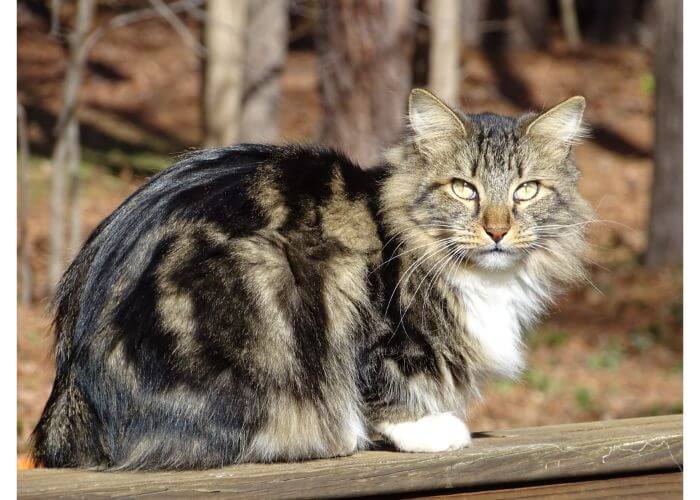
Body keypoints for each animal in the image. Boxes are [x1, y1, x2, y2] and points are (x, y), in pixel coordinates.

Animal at [31, 89, 592, 468]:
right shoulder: (377, 325)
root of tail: (71, 388)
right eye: (463, 188)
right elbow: (382, 385)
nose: (497, 230)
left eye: (525, 190)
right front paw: (428, 430)